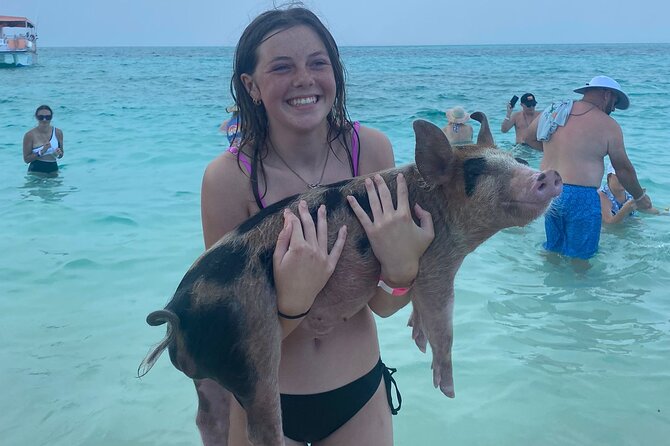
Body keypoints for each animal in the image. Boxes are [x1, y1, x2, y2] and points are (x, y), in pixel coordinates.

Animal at [139, 113, 562, 445]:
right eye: (477, 172)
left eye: (515, 159)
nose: (551, 174)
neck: (439, 208)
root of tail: (177, 314)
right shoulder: (437, 261)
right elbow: (443, 321)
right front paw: (448, 390)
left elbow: (418, 307)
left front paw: (416, 337)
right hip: (251, 350)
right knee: (259, 424)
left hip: (212, 371)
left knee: (209, 416)